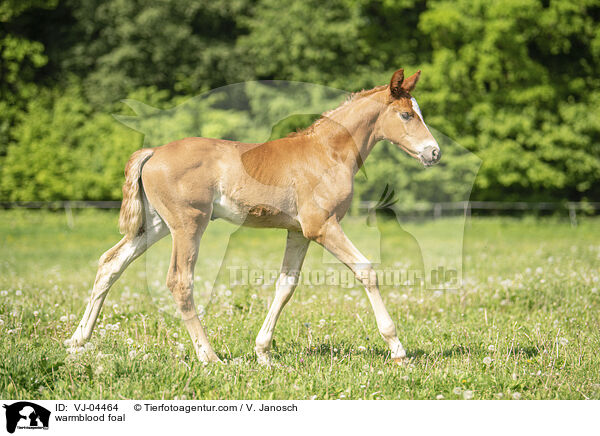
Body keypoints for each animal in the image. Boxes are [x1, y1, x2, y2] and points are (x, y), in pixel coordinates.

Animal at [68, 70, 440, 366]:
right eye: (407, 115)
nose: (434, 152)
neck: (327, 152)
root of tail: (153, 152)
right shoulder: (322, 226)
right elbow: (366, 271)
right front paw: (397, 349)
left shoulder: (299, 232)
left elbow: (285, 285)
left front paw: (263, 352)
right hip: (188, 225)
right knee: (179, 282)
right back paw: (209, 356)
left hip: (155, 225)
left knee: (111, 263)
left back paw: (77, 342)